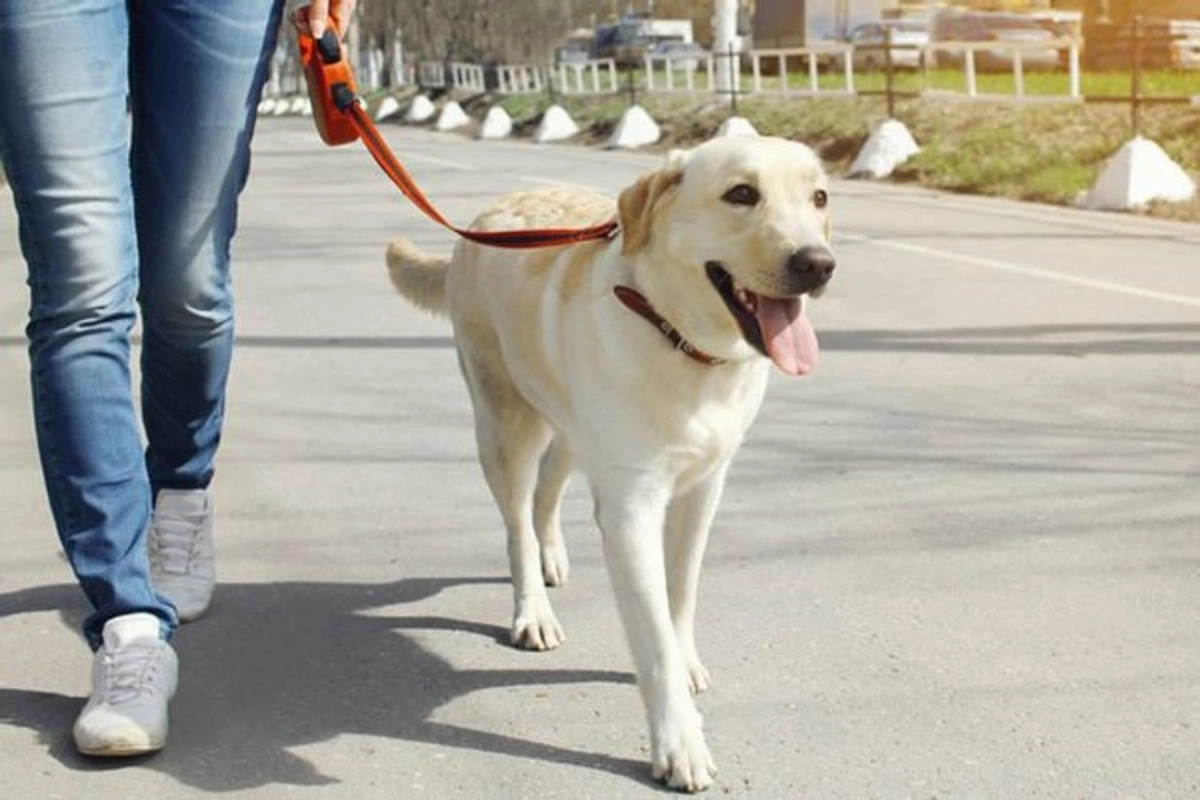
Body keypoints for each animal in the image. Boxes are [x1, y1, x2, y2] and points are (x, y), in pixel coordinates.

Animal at [384, 134, 835, 791]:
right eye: (741, 194)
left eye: (819, 197)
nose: (818, 264)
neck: (681, 340)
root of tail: (485, 218)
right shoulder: (631, 508)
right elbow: (652, 634)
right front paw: (680, 742)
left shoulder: (704, 488)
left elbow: (680, 593)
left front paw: (686, 658)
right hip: (503, 424)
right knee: (517, 521)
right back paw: (533, 608)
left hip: (573, 427)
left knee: (547, 490)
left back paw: (552, 557)